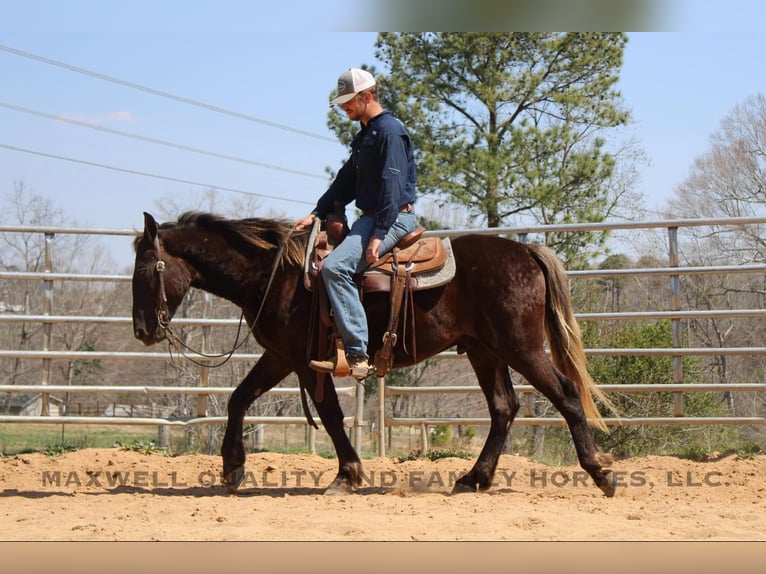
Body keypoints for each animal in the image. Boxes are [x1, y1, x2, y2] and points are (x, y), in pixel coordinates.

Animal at [131, 211, 618, 497]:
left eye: (146, 269)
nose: (141, 330)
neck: (275, 274)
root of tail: (527, 251)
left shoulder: (305, 361)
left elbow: (329, 415)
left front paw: (347, 474)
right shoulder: (281, 357)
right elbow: (239, 399)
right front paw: (232, 467)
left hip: (521, 347)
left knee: (566, 394)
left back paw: (601, 473)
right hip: (485, 351)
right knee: (504, 407)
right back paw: (474, 478)